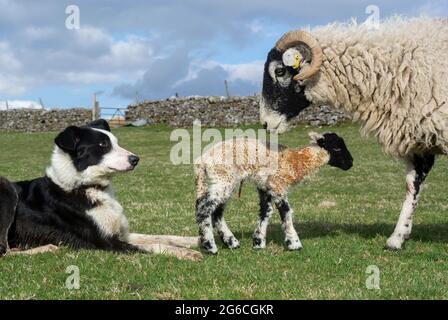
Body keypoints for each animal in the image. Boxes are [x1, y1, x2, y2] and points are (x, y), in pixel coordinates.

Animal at [0, 119, 201, 262]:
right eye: (102, 145)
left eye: (116, 142)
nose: (135, 159)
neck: (86, 186)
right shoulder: (107, 243)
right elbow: (154, 245)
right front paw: (183, 252)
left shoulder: (122, 234)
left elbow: (162, 237)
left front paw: (196, 240)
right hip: (7, 188)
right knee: (3, 252)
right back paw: (46, 248)